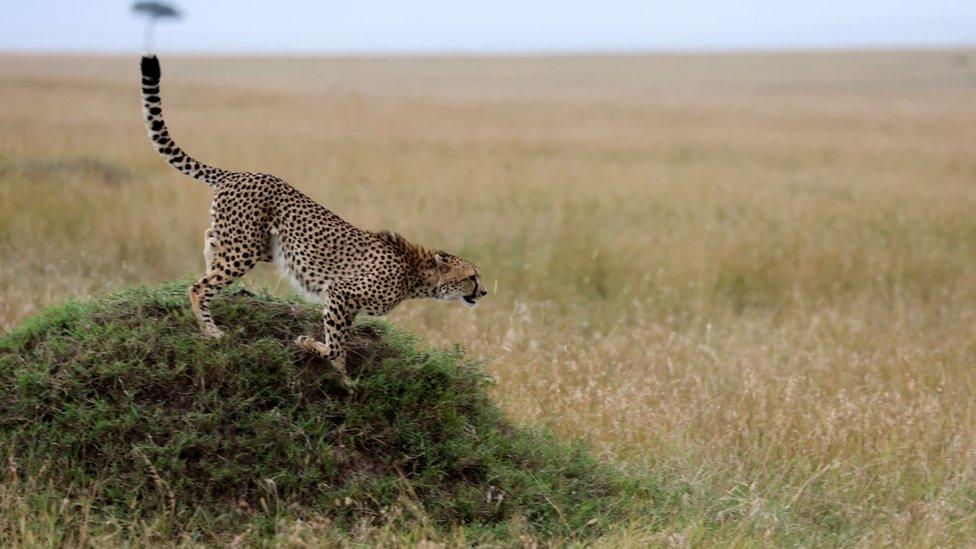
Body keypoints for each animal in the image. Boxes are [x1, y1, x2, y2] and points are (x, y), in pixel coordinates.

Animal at [137, 53, 488, 374]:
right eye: (471, 277)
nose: (483, 292)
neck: (416, 275)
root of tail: (240, 173)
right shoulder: (340, 292)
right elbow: (334, 344)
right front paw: (317, 350)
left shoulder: (347, 305)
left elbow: (340, 341)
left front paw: (343, 375)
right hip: (247, 248)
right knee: (198, 287)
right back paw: (211, 331)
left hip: (259, 245)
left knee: (210, 239)